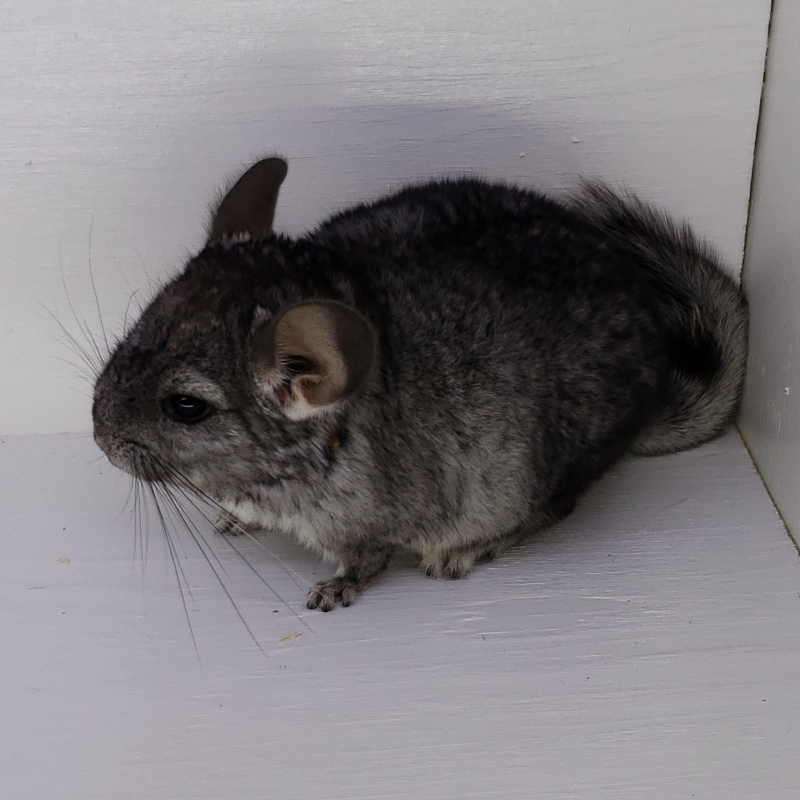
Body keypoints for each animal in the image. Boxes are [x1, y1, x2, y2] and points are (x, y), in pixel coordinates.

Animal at [92, 156, 748, 611]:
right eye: (140, 324)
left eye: (185, 406)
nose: (99, 435)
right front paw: (233, 520)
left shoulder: (367, 524)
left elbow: (365, 563)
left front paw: (329, 593)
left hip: (530, 477)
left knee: (555, 509)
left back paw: (461, 553)